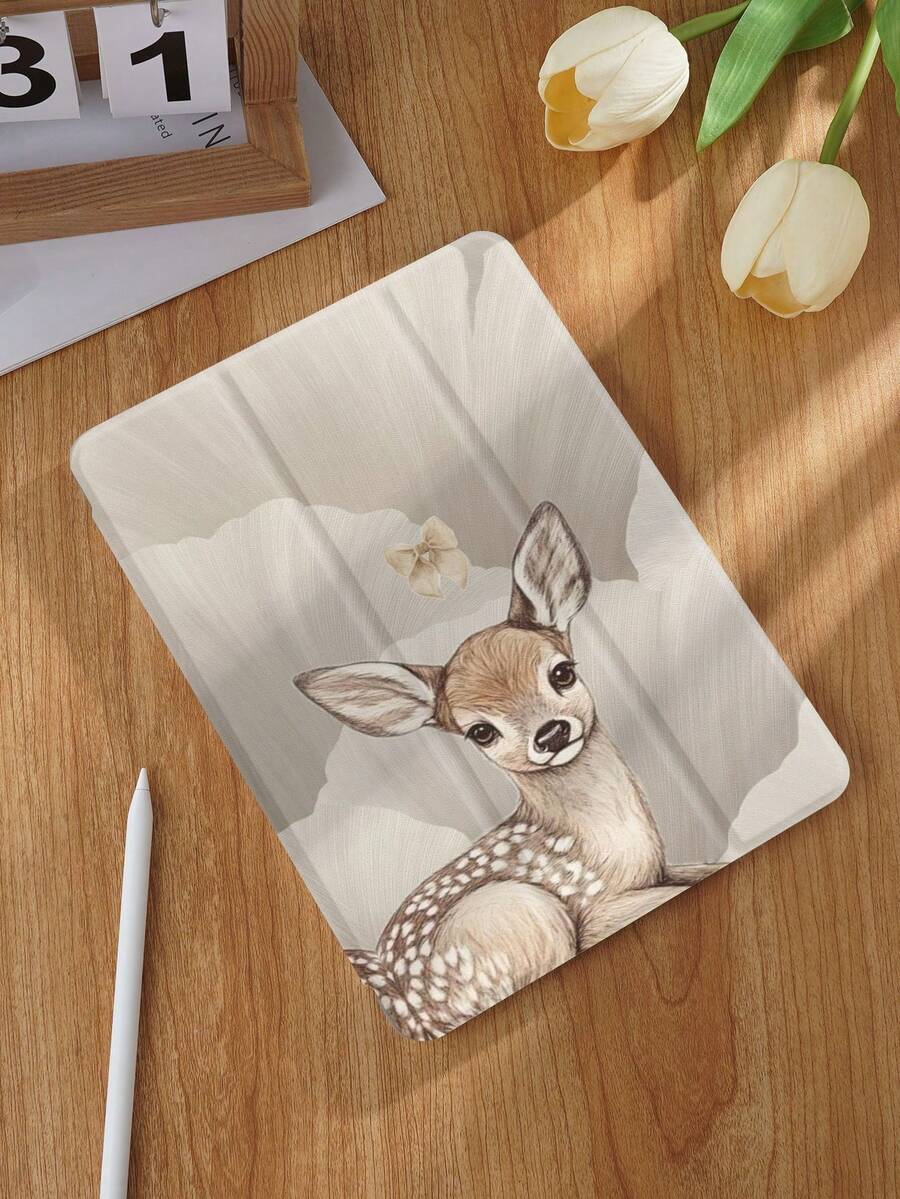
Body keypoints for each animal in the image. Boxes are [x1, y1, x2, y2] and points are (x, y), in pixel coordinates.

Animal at [295, 502, 716, 1040]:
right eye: (480, 732)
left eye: (563, 672)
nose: (551, 733)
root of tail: (407, 1009)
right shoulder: (592, 907)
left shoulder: (662, 871)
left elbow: (700, 868)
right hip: (524, 916)